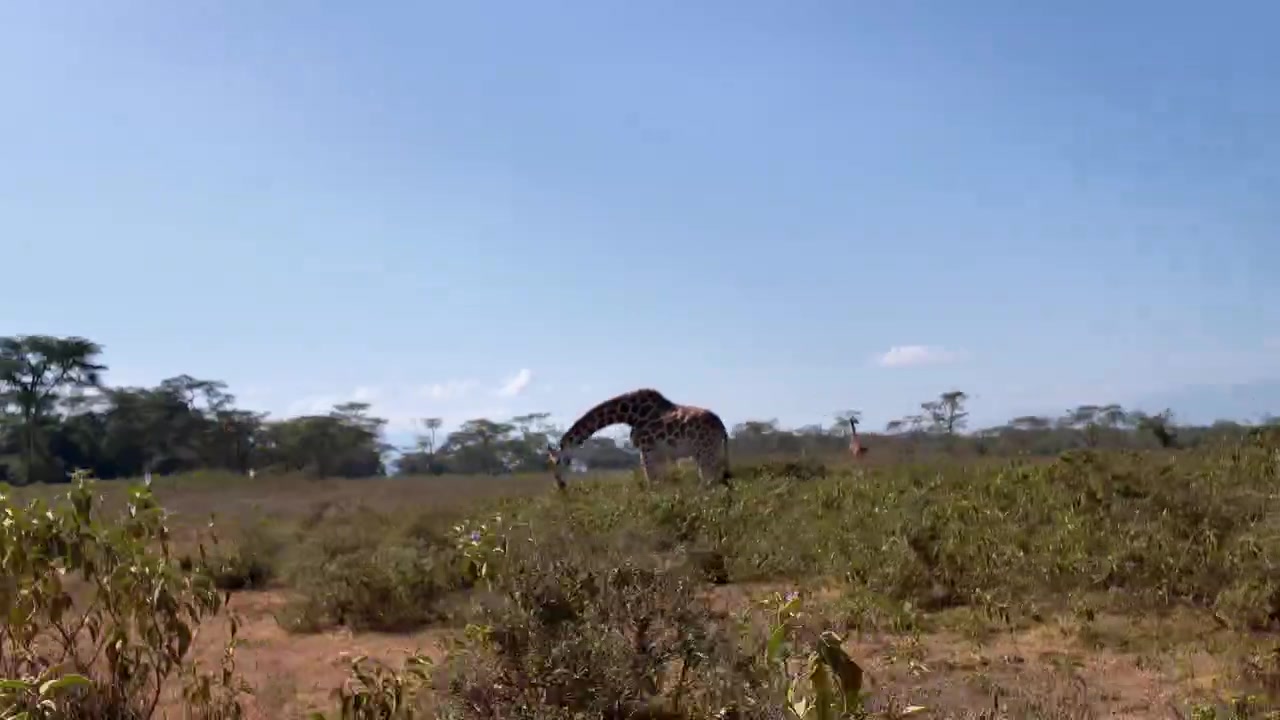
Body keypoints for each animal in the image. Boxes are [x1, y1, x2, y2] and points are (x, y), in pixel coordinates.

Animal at [546, 388, 733, 490]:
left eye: (559, 462)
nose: (560, 485)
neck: (629, 414)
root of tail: (722, 427)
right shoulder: (659, 454)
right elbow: (661, 483)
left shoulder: (647, 449)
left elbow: (652, 483)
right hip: (710, 454)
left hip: (706, 453)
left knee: (709, 482)